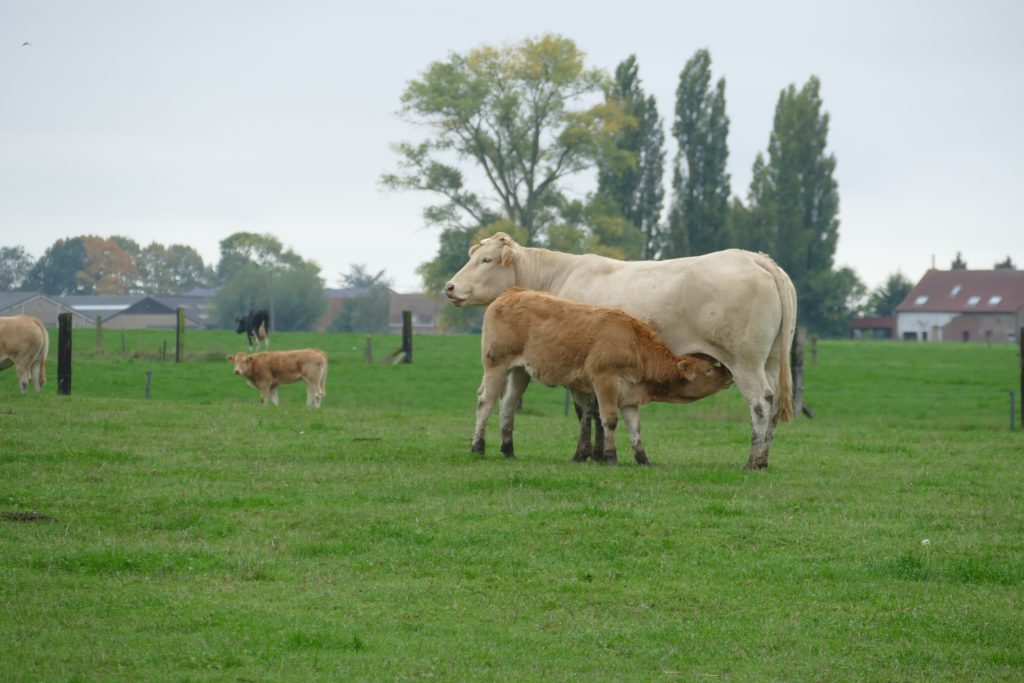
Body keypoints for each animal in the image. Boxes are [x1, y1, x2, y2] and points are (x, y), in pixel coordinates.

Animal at [475, 288, 733, 464]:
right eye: (709, 369)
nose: (729, 374)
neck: (635, 344)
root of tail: (512, 292)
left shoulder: (630, 394)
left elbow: (635, 427)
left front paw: (643, 459)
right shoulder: (605, 381)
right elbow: (609, 419)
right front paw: (610, 456)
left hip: (520, 371)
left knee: (508, 405)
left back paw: (508, 449)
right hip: (496, 364)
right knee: (485, 401)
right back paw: (478, 446)